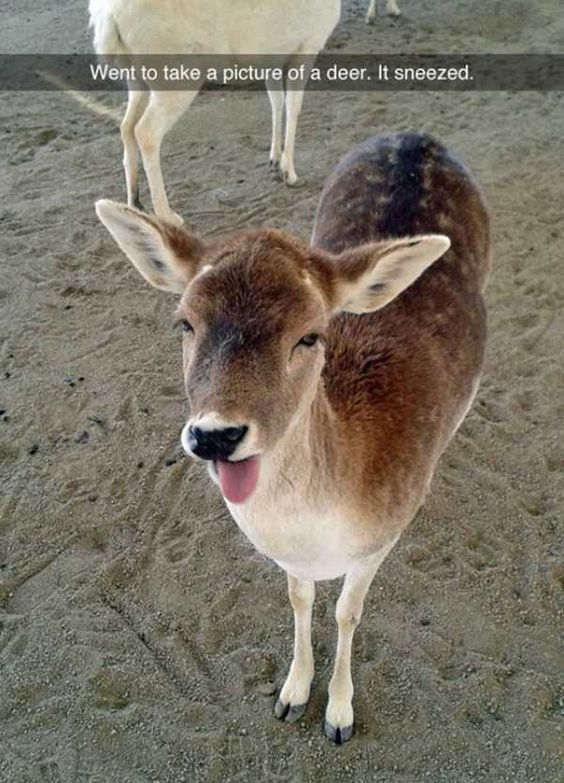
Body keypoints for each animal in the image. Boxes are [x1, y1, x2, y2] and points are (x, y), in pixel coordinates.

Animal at [88, 0, 341, 225]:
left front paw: (275, 159)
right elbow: (294, 106)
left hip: (134, 75)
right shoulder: (308, 44)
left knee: (126, 126)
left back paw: (135, 203)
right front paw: (290, 173)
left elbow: (276, 101)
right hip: (175, 76)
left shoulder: (274, 55)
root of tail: (107, 17)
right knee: (146, 131)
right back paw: (167, 215)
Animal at [95, 131, 490, 743]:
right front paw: (291, 693)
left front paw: (339, 714)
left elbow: (347, 611)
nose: (216, 435)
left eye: (310, 335)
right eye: (184, 322)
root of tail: (415, 134)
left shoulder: (381, 538)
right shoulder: (294, 563)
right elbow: (298, 597)